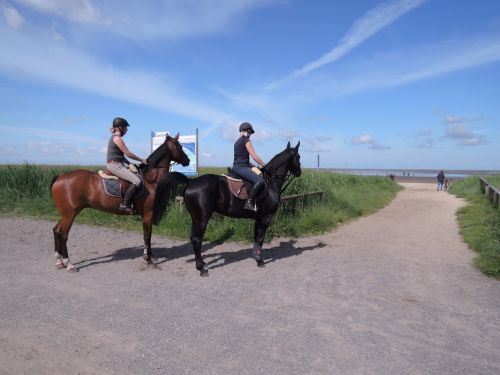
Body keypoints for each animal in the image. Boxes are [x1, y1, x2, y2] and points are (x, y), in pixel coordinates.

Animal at [50, 135, 189, 274]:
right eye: (179, 147)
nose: (187, 160)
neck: (150, 179)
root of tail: (60, 177)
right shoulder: (148, 213)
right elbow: (146, 235)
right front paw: (148, 260)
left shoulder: (147, 214)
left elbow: (149, 235)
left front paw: (151, 256)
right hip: (70, 214)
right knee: (63, 234)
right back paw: (69, 264)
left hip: (66, 214)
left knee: (56, 230)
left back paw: (59, 261)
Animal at [152, 141, 300, 276]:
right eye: (298, 157)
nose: (299, 172)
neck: (270, 183)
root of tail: (190, 181)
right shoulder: (265, 217)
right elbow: (260, 239)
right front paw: (259, 260)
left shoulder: (258, 218)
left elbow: (256, 238)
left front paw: (256, 256)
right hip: (202, 218)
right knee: (197, 239)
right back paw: (201, 268)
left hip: (195, 217)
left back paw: (202, 263)